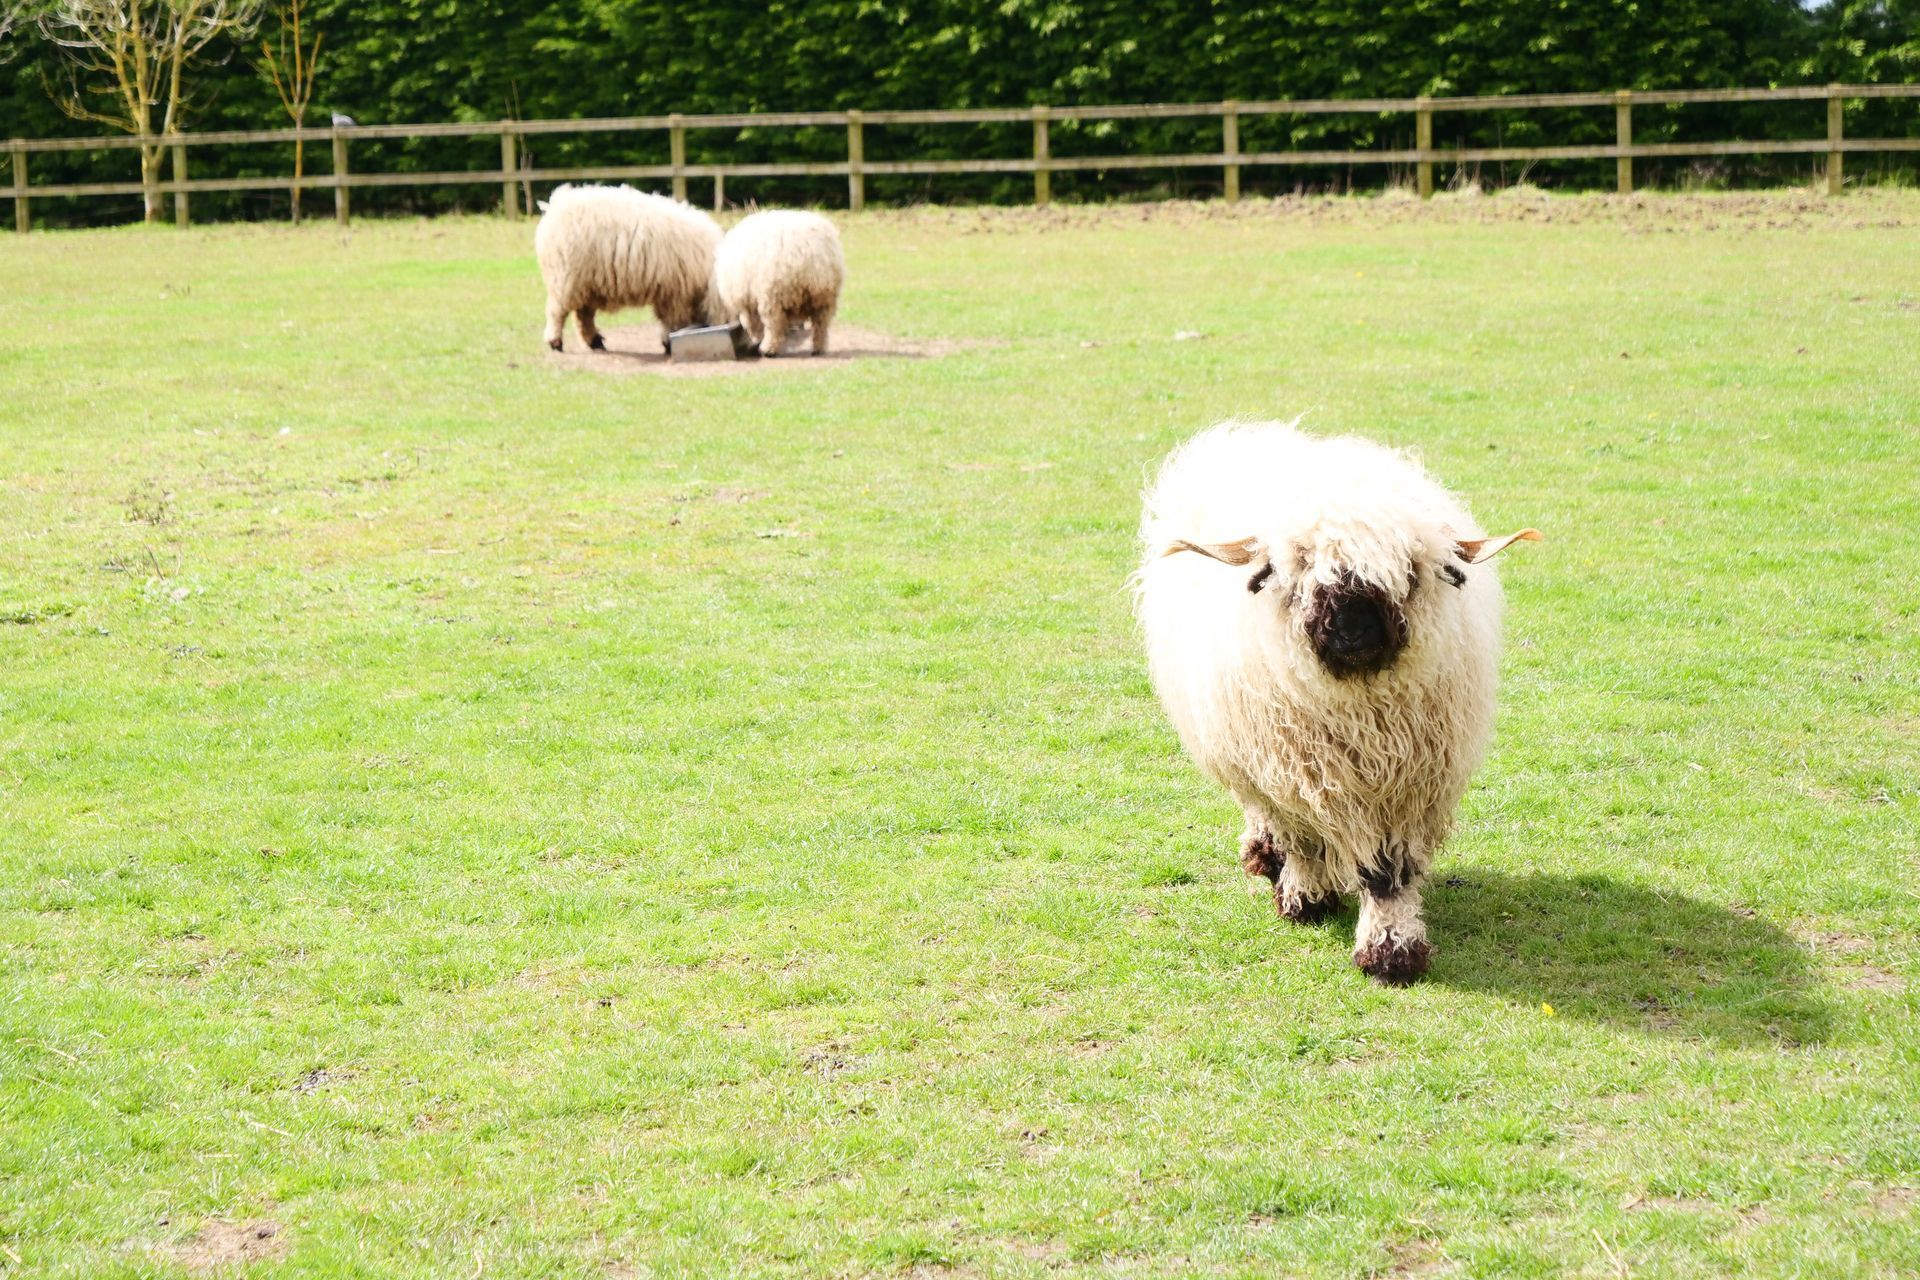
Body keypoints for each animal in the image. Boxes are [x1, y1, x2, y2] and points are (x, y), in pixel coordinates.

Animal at [534, 184, 723, 353]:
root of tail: (555, 205)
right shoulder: (675, 295)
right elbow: (673, 322)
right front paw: (668, 343)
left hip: (586, 282)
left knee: (583, 315)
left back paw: (595, 342)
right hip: (564, 278)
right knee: (557, 311)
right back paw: (555, 342)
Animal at [707, 210, 844, 357]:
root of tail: (807, 253)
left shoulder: (747, 302)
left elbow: (752, 324)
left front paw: (756, 341)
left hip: (773, 294)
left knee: (774, 325)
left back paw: (768, 349)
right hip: (824, 296)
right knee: (821, 325)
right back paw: (818, 348)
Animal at [1134, 420, 1538, 984]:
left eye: (1409, 571)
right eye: (1299, 569)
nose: (1354, 628)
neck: (1363, 714)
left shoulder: (1409, 787)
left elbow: (1388, 873)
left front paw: (1392, 951)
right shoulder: (1291, 772)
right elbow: (1303, 840)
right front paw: (1307, 899)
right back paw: (1267, 857)